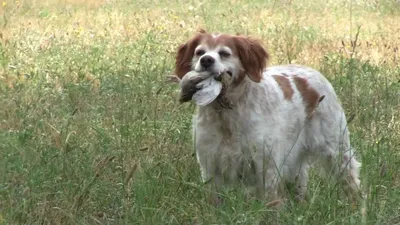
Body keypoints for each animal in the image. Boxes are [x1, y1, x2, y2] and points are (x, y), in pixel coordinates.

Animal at [172, 29, 362, 206]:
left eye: (224, 53)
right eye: (200, 52)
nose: (206, 60)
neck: (227, 116)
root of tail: (313, 71)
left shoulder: (266, 167)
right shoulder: (211, 167)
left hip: (336, 152)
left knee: (352, 184)